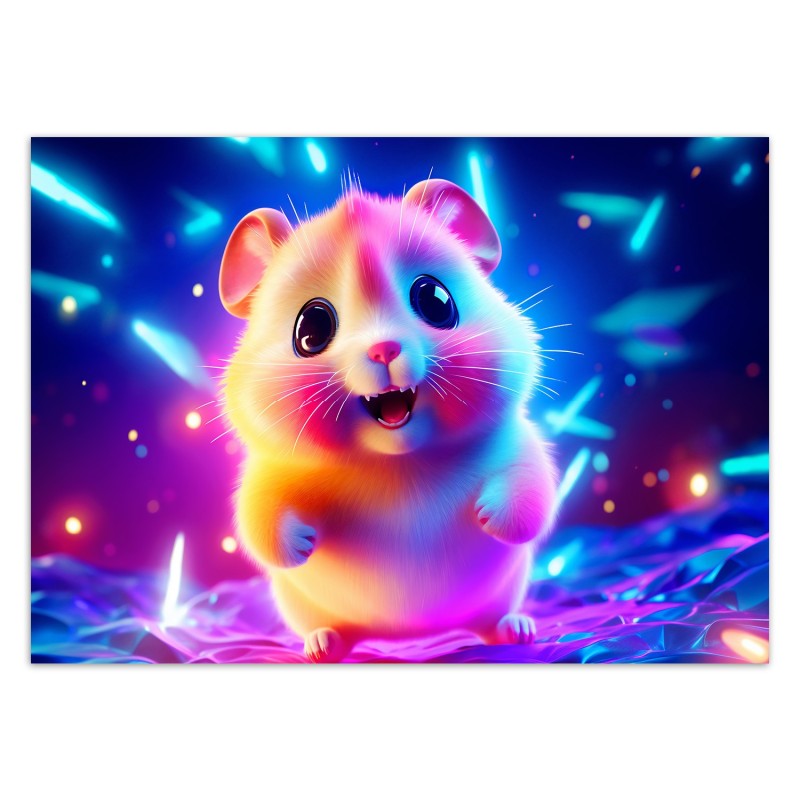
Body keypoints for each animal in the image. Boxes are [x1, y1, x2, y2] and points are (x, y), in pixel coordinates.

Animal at [218, 178, 557, 662]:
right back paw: (321, 646)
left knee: (493, 622)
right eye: (311, 328)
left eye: (436, 301)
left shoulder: (516, 445)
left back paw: (518, 630)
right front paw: (302, 545)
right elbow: (260, 520)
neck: (396, 463)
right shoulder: (270, 473)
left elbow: (531, 494)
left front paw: (489, 515)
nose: (385, 349)